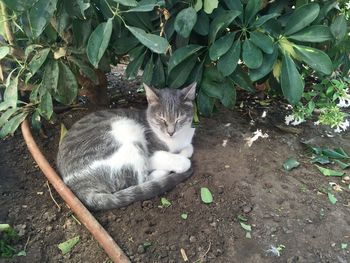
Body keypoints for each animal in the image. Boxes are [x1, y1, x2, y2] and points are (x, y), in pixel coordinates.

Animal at [56, 83, 196, 211]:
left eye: (179, 119)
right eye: (161, 119)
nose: (171, 132)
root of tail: (76, 185)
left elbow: (189, 147)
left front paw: (183, 151)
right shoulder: (150, 154)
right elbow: (175, 159)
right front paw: (181, 161)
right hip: (129, 138)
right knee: (141, 180)